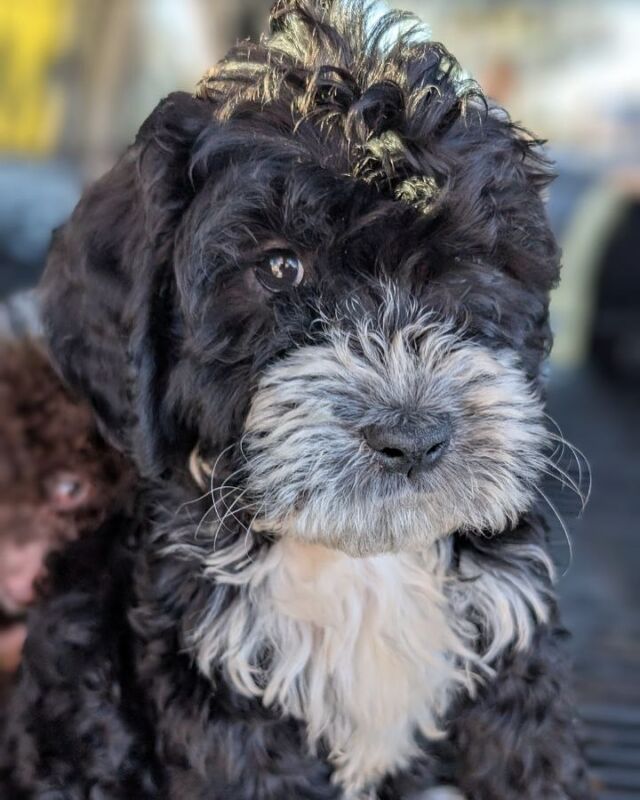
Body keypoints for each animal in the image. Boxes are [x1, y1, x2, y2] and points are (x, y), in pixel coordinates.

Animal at [0, 3, 592, 796]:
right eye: (281, 268)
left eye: (465, 266)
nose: (412, 437)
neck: (357, 560)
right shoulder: (219, 684)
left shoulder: (508, 633)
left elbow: (530, 757)